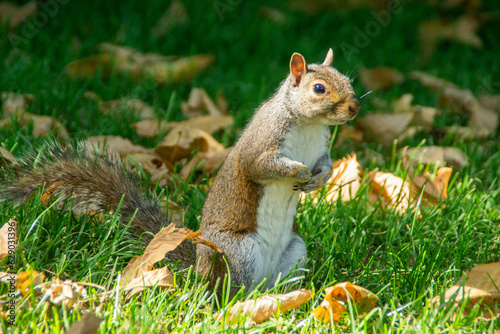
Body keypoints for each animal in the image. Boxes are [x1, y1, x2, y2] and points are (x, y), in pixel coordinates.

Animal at [0, 49, 360, 292]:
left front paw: (317, 179)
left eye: (347, 80)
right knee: (230, 292)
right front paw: (298, 172)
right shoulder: (263, 141)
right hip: (238, 251)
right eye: (318, 88)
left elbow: (327, 165)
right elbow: (260, 165)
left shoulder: (321, 149)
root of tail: (198, 275)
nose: (355, 107)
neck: (309, 125)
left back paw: (288, 298)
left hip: (294, 252)